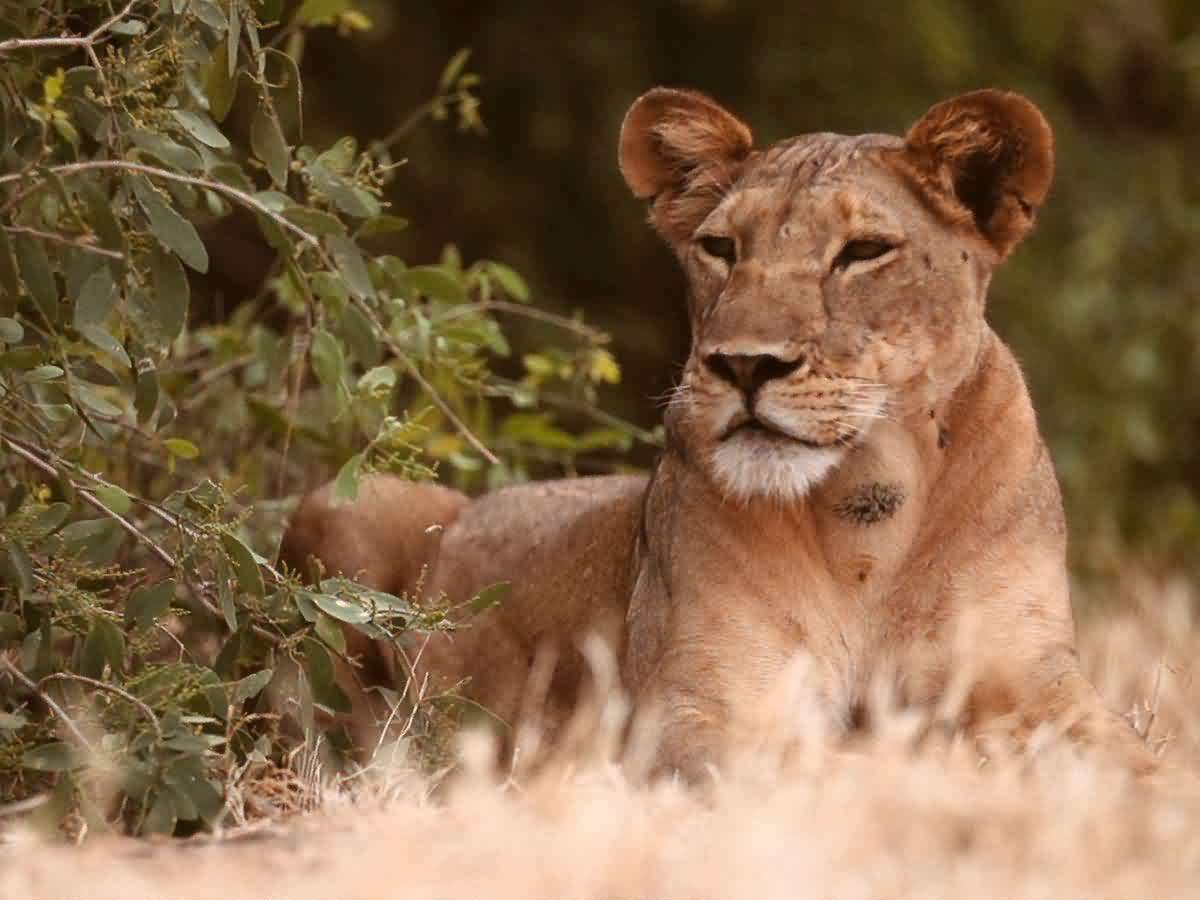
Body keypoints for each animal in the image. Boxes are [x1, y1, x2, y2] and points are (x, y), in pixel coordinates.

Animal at [281, 87, 1159, 778]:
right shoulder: (702, 710)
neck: (869, 503)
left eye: (864, 251)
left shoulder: (1039, 680)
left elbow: (1138, 760)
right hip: (354, 505)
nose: (743, 364)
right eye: (719, 247)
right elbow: (842, 764)